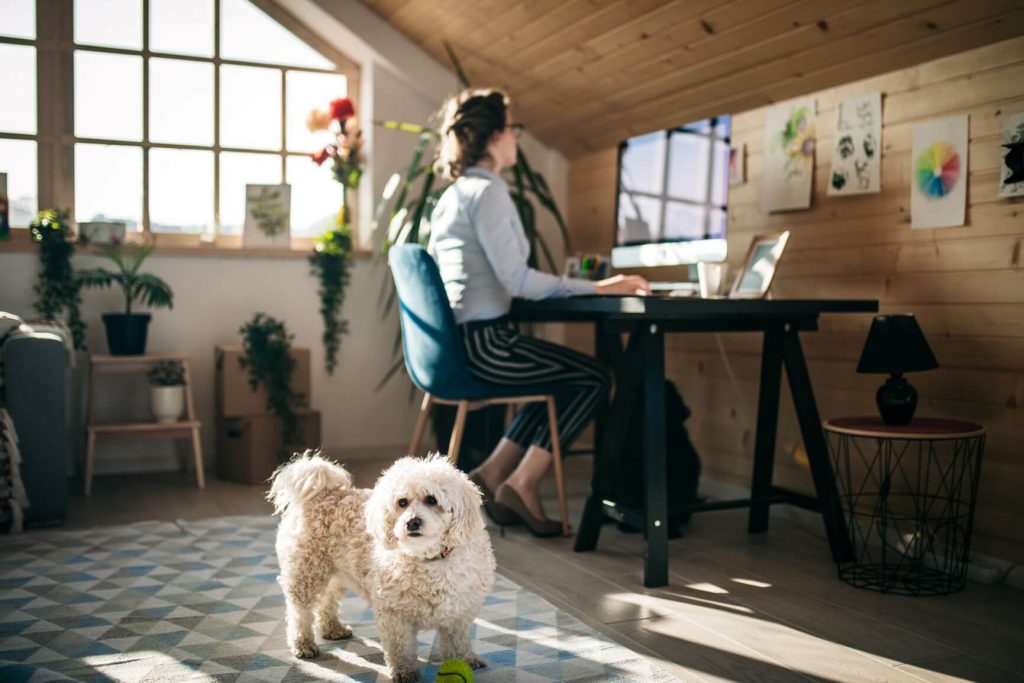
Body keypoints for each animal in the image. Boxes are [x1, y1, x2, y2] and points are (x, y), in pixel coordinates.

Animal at [268, 450, 495, 679]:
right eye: (402, 502)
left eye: (432, 499)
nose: (412, 522)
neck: (428, 559)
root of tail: (321, 493)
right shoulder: (395, 615)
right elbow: (401, 648)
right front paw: (405, 672)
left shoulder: (459, 612)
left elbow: (458, 642)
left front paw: (465, 659)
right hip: (306, 574)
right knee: (299, 612)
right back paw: (302, 643)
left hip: (337, 573)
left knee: (327, 600)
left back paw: (332, 628)